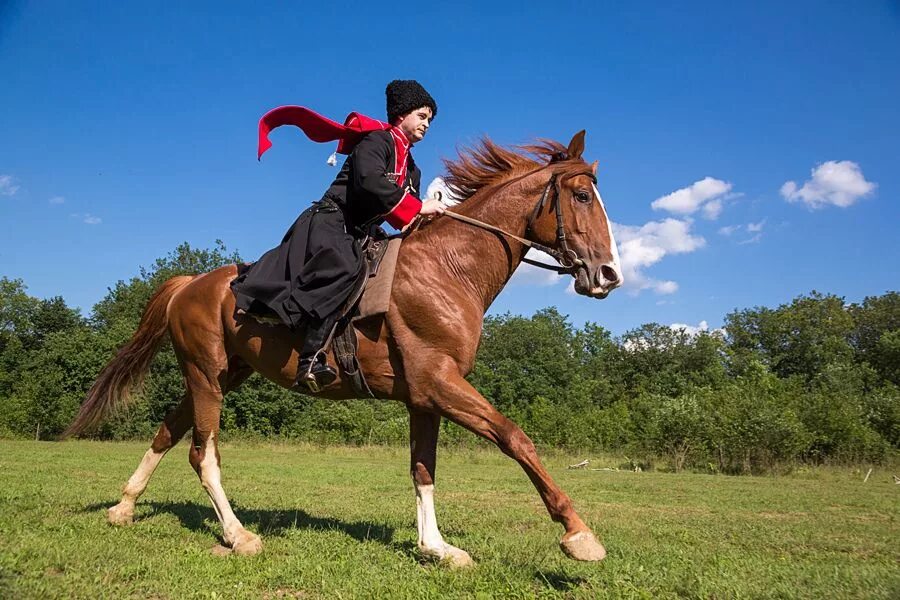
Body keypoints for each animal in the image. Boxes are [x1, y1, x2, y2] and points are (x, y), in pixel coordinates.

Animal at [67, 131, 624, 568]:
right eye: (580, 196)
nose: (610, 276)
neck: (449, 268)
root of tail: (191, 283)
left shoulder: (424, 397)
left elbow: (424, 469)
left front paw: (436, 547)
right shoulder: (441, 383)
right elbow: (515, 438)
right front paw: (579, 534)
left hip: (219, 376)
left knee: (168, 431)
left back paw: (124, 507)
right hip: (207, 377)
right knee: (203, 454)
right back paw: (239, 535)